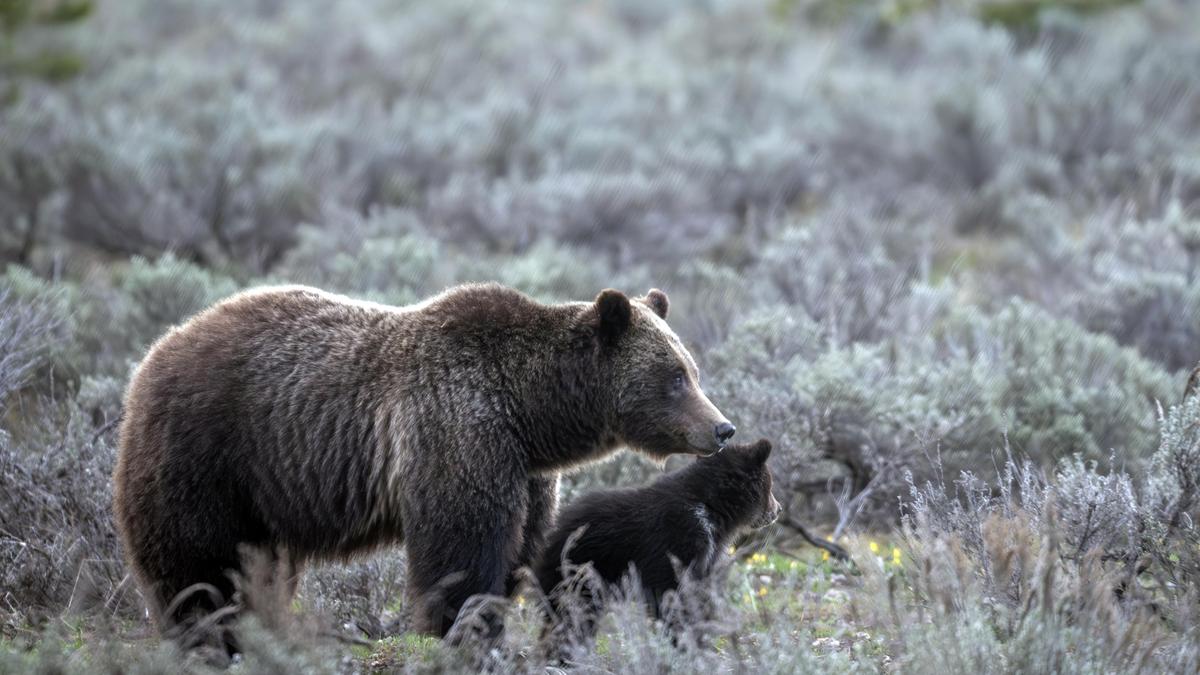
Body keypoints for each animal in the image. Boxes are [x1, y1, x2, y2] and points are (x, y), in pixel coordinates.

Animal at [112, 282, 734, 638]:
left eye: (692, 370)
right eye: (675, 378)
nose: (722, 428)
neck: (531, 411)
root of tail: (154, 352)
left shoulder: (525, 470)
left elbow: (519, 547)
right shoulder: (458, 427)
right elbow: (461, 543)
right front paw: (462, 624)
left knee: (257, 565)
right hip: (209, 453)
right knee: (197, 562)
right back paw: (207, 630)